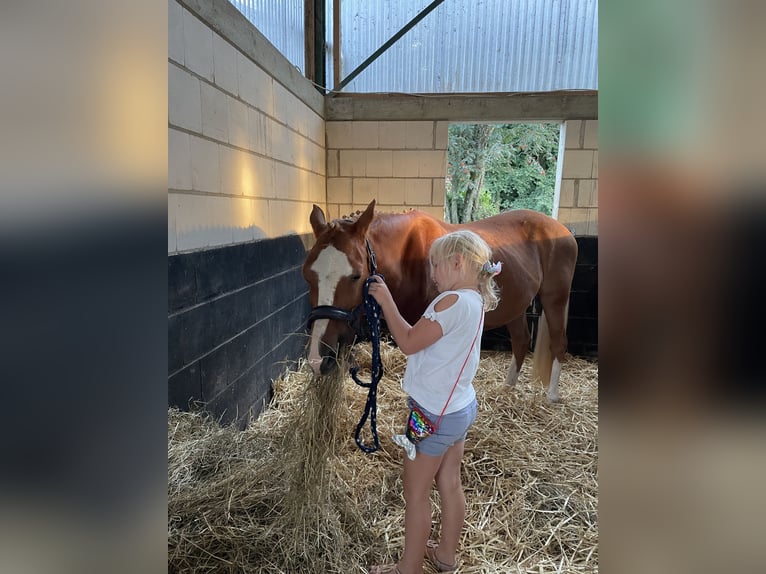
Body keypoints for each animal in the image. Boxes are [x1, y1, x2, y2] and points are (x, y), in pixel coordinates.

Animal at [304, 200, 580, 402]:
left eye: (356, 275)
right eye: (306, 275)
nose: (319, 360)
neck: (409, 258)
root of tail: (563, 231)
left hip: (555, 299)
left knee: (559, 343)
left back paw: (552, 396)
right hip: (516, 306)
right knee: (521, 341)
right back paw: (508, 388)